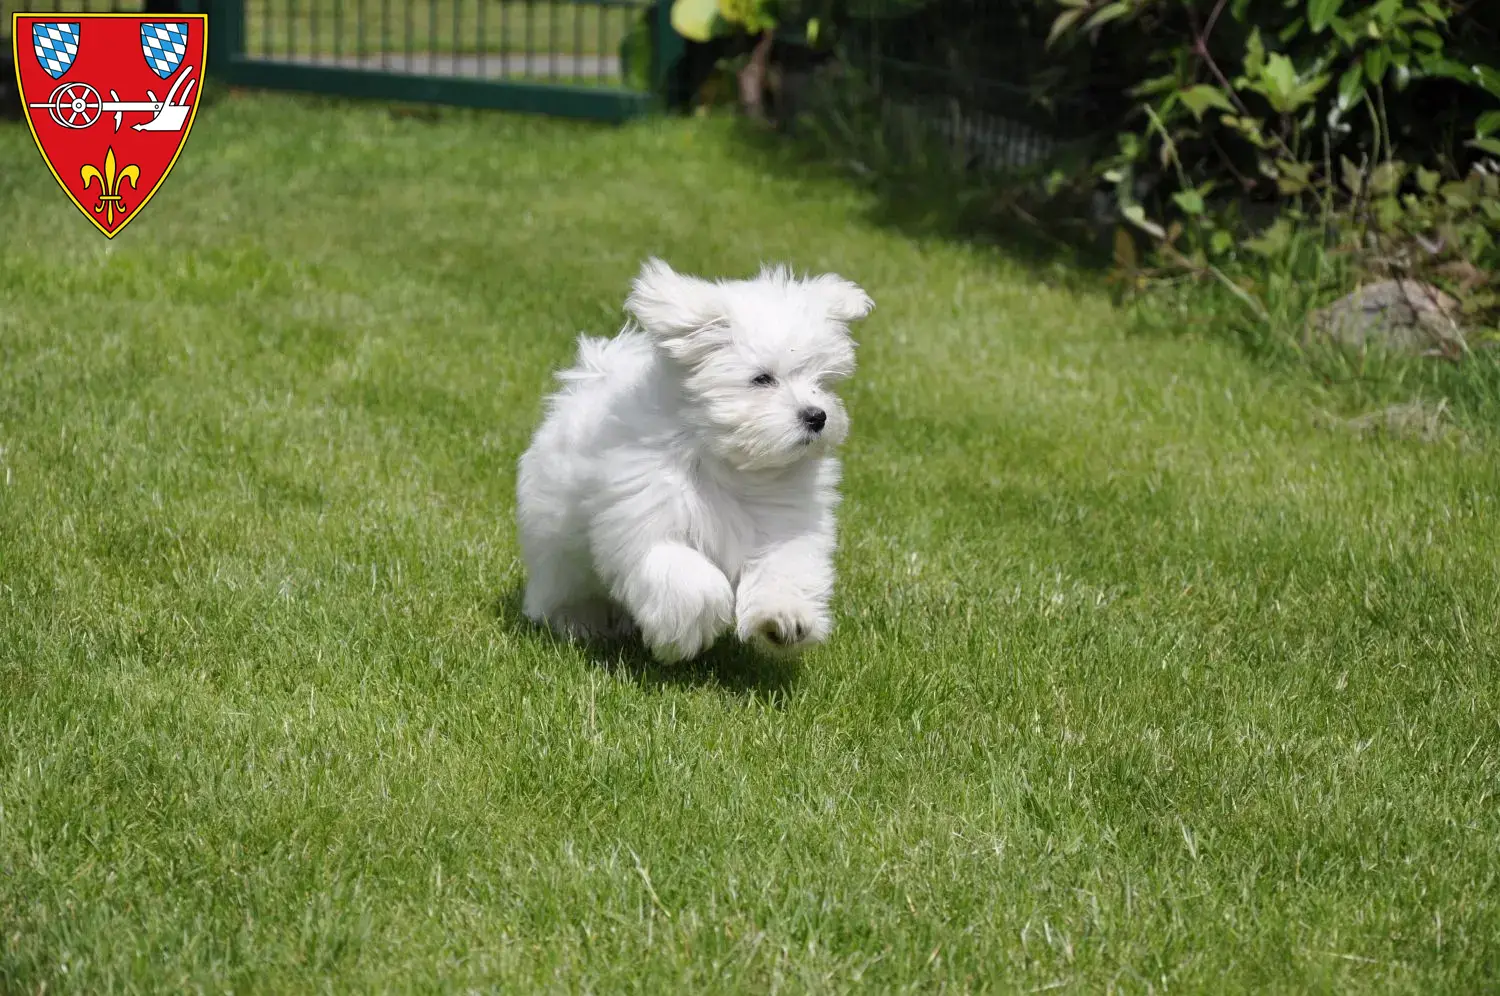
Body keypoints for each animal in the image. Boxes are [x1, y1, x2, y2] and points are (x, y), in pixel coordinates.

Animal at [516, 256, 876, 660]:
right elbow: (687, 575)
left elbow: (783, 568)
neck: (731, 463)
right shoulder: (648, 518)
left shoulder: (784, 523)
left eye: (822, 381)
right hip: (557, 549)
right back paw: (579, 623)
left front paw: (784, 620)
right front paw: (690, 629)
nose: (817, 416)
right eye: (762, 379)